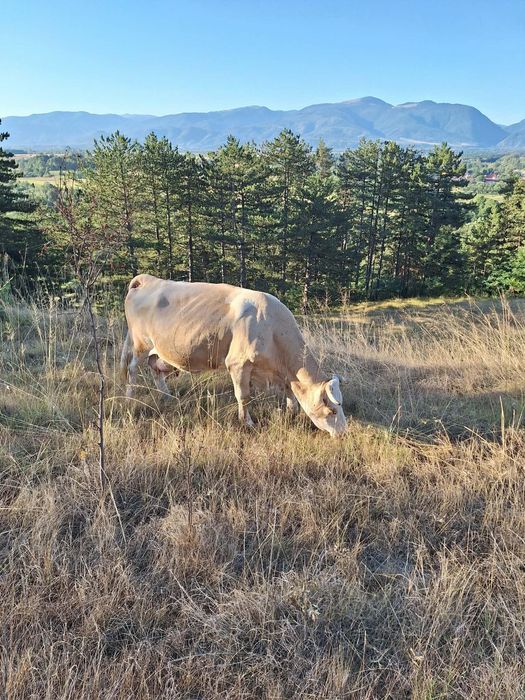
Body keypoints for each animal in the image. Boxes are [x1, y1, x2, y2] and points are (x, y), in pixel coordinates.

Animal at [120, 274, 347, 437]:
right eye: (333, 411)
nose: (344, 433)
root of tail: (147, 280)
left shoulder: (278, 372)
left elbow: (289, 392)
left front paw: (290, 413)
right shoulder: (238, 364)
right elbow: (244, 396)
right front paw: (247, 423)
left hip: (159, 352)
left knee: (156, 369)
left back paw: (167, 397)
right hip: (140, 344)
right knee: (132, 369)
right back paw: (129, 399)